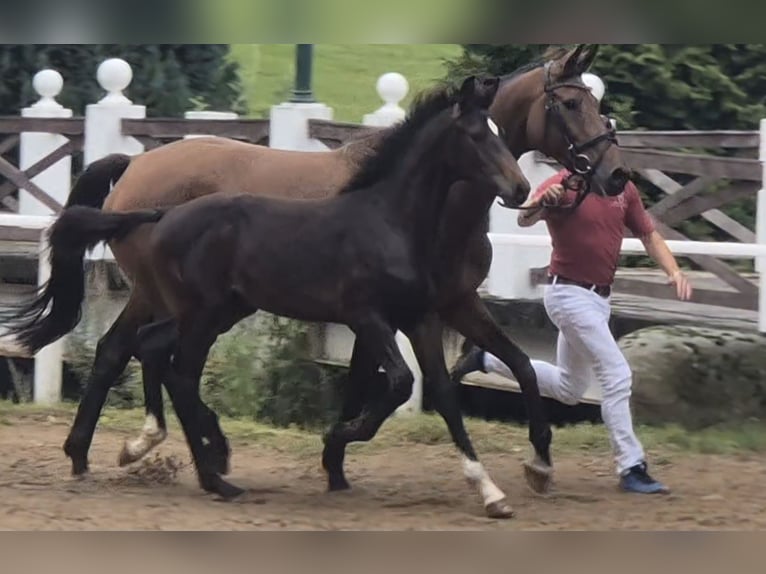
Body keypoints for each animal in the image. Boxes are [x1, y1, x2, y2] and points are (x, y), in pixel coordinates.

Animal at [3, 45, 628, 510]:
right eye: (570, 101)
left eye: (600, 104)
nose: (616, 175)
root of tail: (133, 165)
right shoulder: (379, 314)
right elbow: (387, 384)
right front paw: (334, 456)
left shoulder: (448, 305)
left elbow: (509, 367)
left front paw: (537, 464)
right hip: (171, 298)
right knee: (127, 351)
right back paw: (139, 452)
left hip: (203, 304)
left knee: (141, 350)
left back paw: (156, 449)